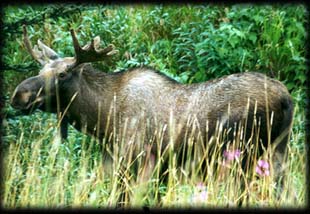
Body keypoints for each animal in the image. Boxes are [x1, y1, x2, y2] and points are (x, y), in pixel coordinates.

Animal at [11, 24, 294, 204]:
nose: (18, 95)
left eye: (61, 74)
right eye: (40, 70)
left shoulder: (137, 163)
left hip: (243, 155)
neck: (102, 119)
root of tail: (286, 99)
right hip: (277, 154)